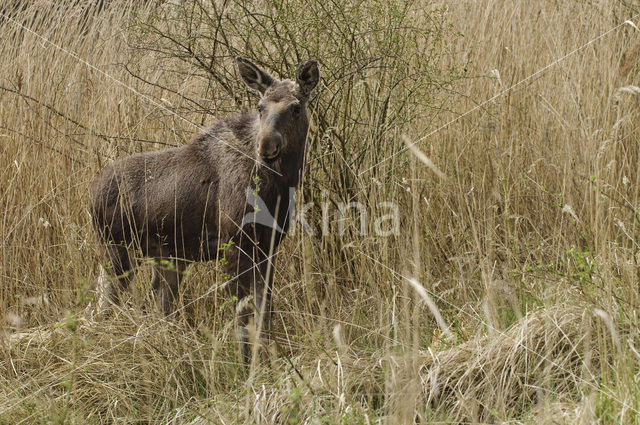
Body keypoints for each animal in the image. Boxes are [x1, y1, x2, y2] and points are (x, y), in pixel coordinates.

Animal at [90, 56, 320, 360]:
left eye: (296, 107)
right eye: (260, 107)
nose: (267, 147)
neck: (278, 186)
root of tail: (90, 193)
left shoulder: (267, 248)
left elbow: (264, 317)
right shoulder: (234, 246)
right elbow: (241, 322)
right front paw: (244, 365)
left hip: (166, 258)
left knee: (157, 306)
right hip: (117, 253)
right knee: (102, 308)